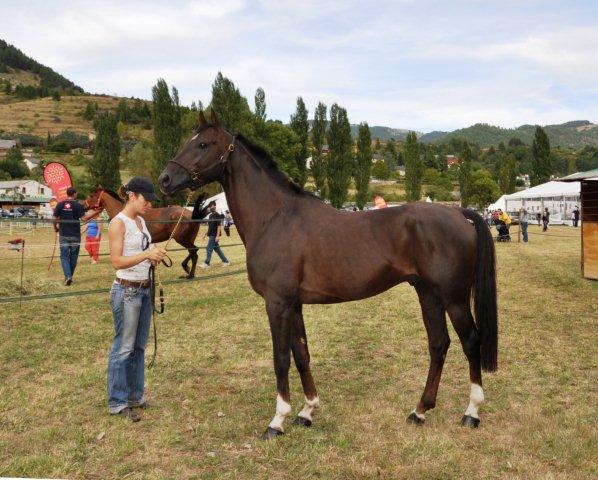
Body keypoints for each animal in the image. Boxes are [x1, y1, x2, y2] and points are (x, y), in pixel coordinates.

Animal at [157, 111, 500, 438]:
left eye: (203, 144)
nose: (165, 179)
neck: (275, 218)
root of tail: (461, 213)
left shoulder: (277, 303)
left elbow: (280, 358)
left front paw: (277, 420)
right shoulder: (293, 304)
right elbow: (301, 354)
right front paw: (307, 412)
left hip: (454, 297)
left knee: (471, 342)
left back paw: (471, 413)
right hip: (428, 294)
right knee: (439, 344)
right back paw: (420, 411)